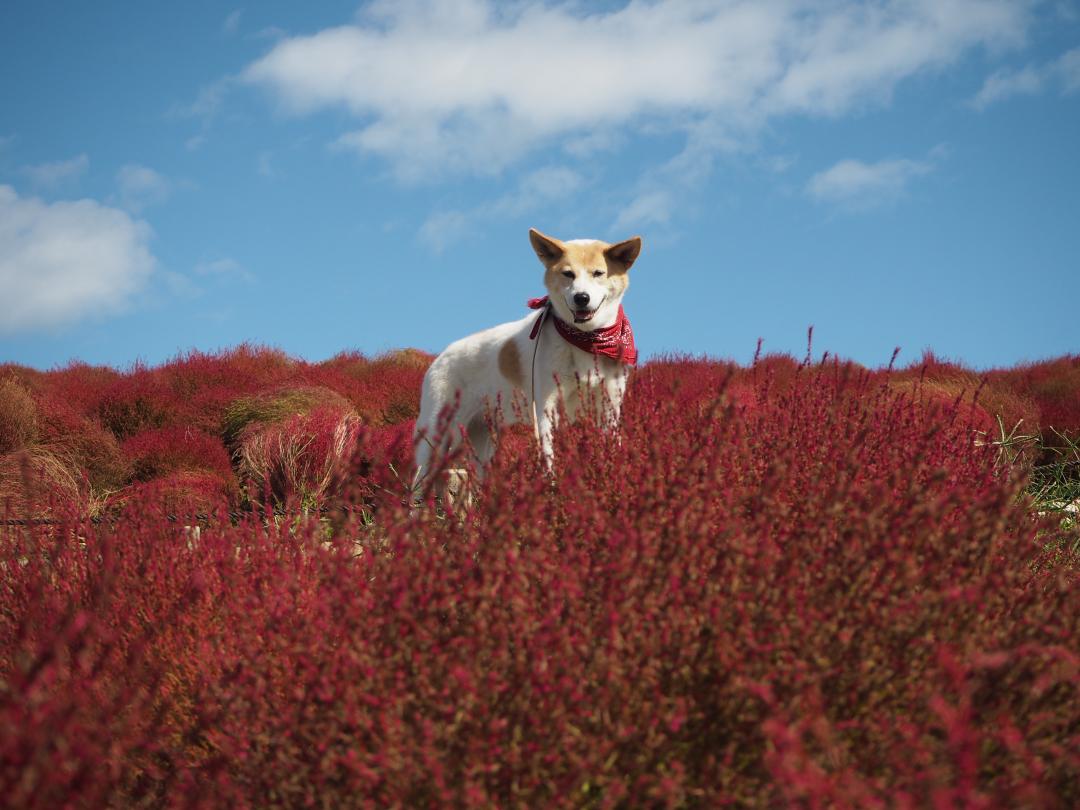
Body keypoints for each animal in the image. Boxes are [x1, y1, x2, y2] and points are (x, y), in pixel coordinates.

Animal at [412, 228, 639, 494]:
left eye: (598, 273)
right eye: (568, 274)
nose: (581, 298)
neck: (588, 339)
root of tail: (439, 358)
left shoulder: (610, 405)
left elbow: (612, 446)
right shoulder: (545, 407)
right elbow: (548, 456)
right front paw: (551, 490)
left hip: (482, 441)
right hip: (435, 437)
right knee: (416, 482)